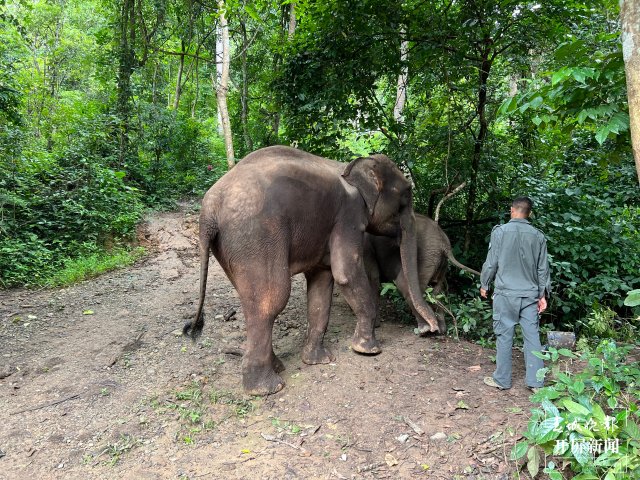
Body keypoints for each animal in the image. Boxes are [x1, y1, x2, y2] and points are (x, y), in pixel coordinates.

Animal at [182, 145, 438, 394]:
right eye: (406, 197)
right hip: (255, 237)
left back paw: (277, 367)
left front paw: (318, 361)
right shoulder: (349, 216)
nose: (430, 330)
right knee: (271, 300)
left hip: (231, 249)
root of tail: (208, 211)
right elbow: (345, 274)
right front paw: (369, 350)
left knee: (253, 300)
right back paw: (267, 388)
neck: (352, 165)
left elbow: (322, 284)